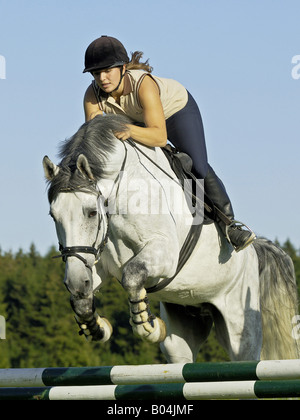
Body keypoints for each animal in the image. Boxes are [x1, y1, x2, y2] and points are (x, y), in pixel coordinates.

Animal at [43, 113, 298, 362]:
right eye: (53, 216)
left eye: (91, 212)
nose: (77, 283)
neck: (121, 192)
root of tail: (255, 254)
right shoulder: (95, 261)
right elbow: (84, 295)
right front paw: (95, 325)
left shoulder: (164, 254)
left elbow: (132, 275)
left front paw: (149, 325)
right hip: (184, 325)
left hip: (241, 327)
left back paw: (238, 234)